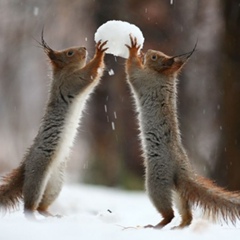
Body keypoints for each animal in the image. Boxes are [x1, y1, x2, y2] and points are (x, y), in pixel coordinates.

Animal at [0, 31, 107, 218]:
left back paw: (50, 214)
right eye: (69, 53)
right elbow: (89, 74)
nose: (84, 47)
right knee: (29, 206)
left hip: (55, 184)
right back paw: (34, 217)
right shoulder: (72, 82)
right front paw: (99, 52)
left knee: (42, 206)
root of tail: (25, 167)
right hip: (38, 176)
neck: (64, 72)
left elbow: (95, 78)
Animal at [124, 35, 239, 229]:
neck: (164, 76)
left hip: (157, 182)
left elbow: (132, 72)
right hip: (178, 191)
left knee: (168, 213)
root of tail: (182, 169)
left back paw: (157, 225)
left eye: (155, 57)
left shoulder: (144, 80)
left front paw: (133, 51)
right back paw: (180, 226)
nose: (148, 51)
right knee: (187, 215)